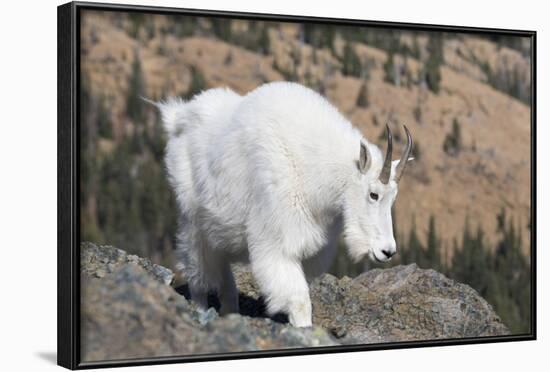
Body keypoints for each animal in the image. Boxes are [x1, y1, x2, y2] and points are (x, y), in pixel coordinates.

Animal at [155, 81, 414, 326]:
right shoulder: (278, 242)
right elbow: (299, 301)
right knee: (197, 267)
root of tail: (178, 116)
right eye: (373, 194)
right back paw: (200, 309)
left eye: (394, 197)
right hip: (193, 219)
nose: (387, 251)